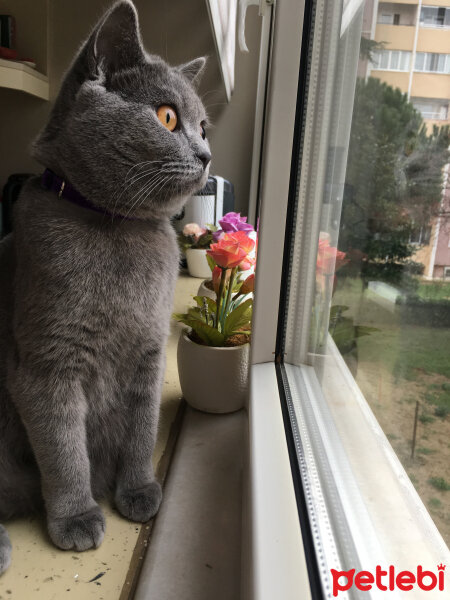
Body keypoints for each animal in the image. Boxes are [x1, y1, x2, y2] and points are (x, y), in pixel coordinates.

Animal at [0, 0, 210, 572]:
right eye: (167, 117)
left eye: (204, 126)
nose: (207, 154)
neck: (120, 229)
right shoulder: (45, 363)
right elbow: (63, 449)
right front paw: (76, 517)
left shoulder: (149, 351)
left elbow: (142, 428)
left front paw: (136, 491)